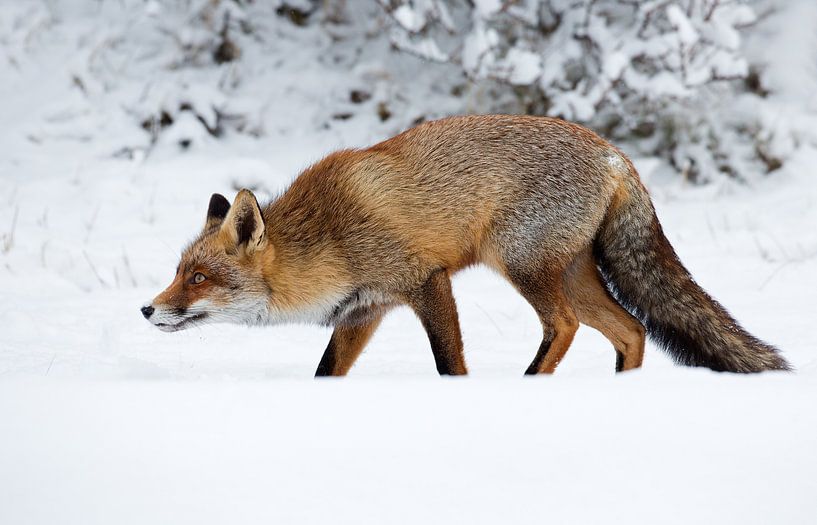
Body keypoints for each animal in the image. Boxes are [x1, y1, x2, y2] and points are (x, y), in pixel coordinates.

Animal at [142, 116, 792, 374]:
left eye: (198, 279)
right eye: (179, 271)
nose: (148, 309)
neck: (330, 237)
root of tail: (614, 154)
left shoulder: (426, 281)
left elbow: (448, 364)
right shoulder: (363, 311)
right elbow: (327, 374)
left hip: (522, 265)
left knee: (564, 327)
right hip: (573, 275)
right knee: (631, 331)